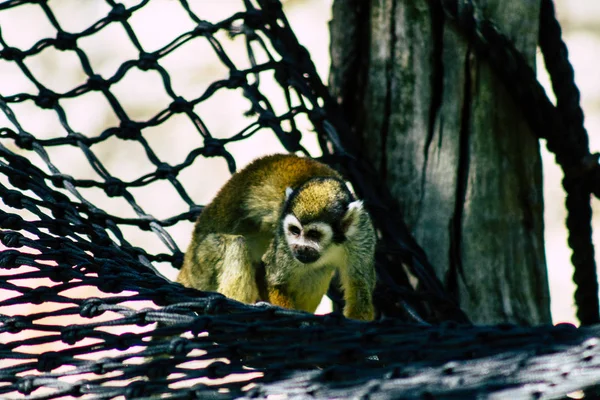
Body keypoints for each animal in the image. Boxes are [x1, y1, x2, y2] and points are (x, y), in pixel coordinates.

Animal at [177, 155, 376, 320]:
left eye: (314, 234)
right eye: (294, 231)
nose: (300, 248)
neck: (333, 244)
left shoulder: (362, 234)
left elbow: (360, 289)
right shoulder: (284, 240)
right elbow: (274, 279)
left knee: (320, 269)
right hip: (201, 263)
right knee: (236, 244)